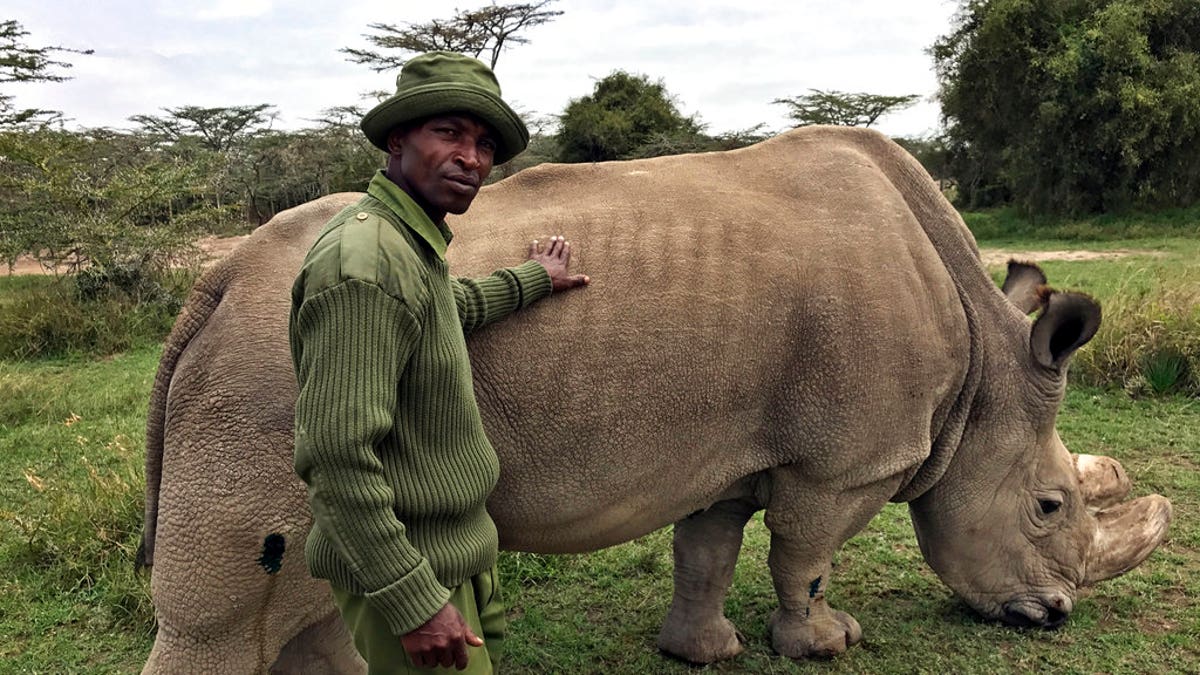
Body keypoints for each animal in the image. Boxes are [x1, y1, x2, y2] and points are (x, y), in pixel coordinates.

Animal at [138, 124, 1171, 667]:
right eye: (1050, 506)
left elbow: (706, 549)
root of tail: (215, 280)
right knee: (238, 601)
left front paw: (702, 650)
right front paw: (826, 640)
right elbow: (805, 552)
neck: (985, 372)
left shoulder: (732, 443)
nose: (1056, 614)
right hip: (267, 380)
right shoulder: (847, 458)